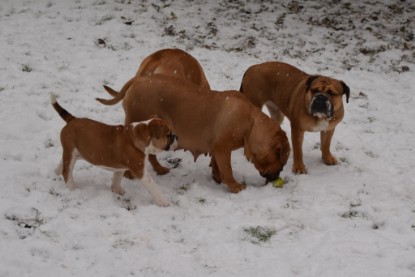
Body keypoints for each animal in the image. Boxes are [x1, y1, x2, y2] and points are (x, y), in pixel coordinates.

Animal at [96, 74, 290, 193]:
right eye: (281, 162)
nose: (278, 176)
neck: (251, 124)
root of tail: (137, 80)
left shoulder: (217, 149)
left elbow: (218, 165)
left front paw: (217, 177)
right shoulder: (222, 148)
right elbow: (227, 169)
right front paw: (235, 187)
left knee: (151, 156)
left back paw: (159, 169)